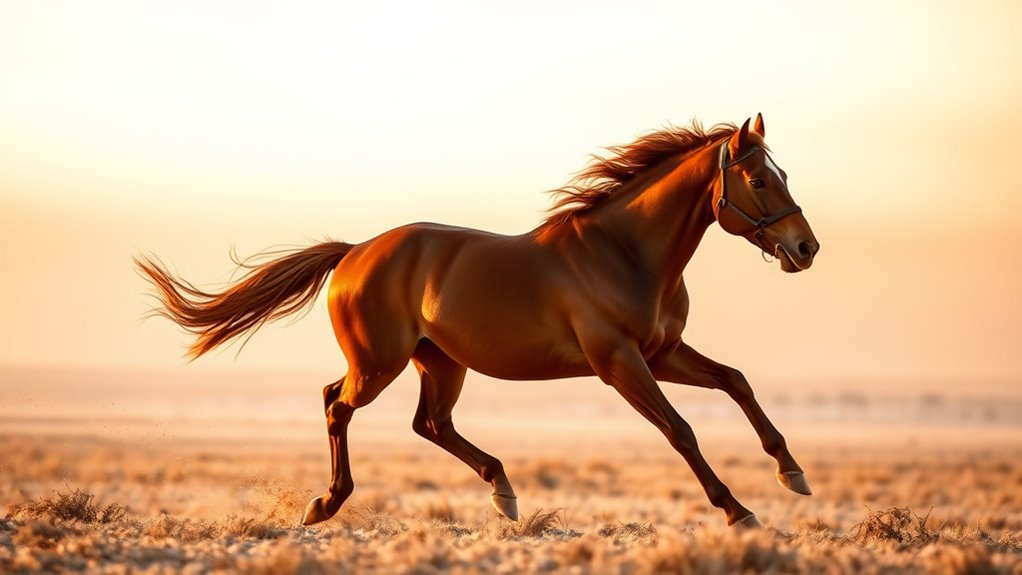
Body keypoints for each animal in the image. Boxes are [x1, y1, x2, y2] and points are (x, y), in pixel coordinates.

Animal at [136, 114, 820, 528]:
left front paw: (792, 474)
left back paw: (503, 491)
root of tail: (354, 252)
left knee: (428, 423)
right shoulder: (620, 363)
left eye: (783, 173)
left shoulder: (661, 353)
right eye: (758, 179)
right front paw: (738, 510)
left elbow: (735, 381)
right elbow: (681, 431)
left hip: (440, 362)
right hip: (379, 363)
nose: (806, 247)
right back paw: (326, 504)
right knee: (337, 403)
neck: (624, 252)